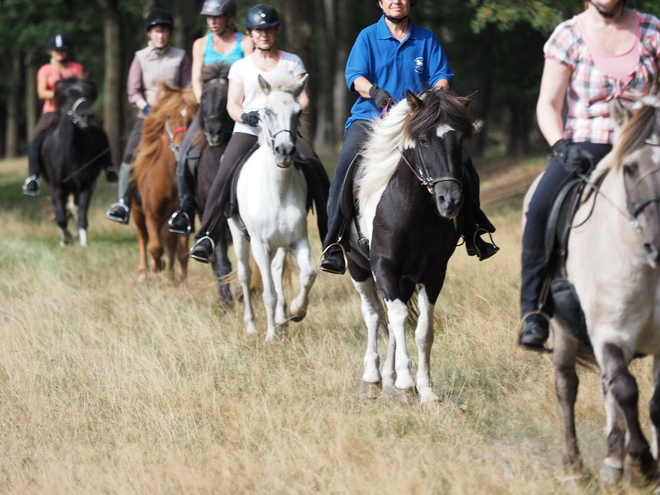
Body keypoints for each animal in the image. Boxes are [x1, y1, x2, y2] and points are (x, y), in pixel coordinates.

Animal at [38, 76, 112, 247]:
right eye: (68, 96)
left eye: (87, 95)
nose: (86, 115)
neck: (70, 152)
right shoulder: (57, 188)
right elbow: (61, 218)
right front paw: (65, 240)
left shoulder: (85, 186)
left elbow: (82, 214)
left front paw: (83, 241)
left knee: (75, 208)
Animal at [131, 85, 197, 282]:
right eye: (169, 116)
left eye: (193, 117)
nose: (181, 147)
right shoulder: (151, 214)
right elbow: (155, 246)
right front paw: (156, 266)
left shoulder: (183, 217)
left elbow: (182, 251)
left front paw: (182, 281)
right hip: (137, 212)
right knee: (143, 238)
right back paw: (144, 273)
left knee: (170, 243)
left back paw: (169, 275)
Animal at [350, 89, 480, 406]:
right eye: (423, 140)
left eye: (460, 140)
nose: (450, 201)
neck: (415, 211)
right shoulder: (383, 265)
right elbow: (395, 317)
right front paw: (407, 382)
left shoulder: (433, 272)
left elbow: (423, 329)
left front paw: (425, 390)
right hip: (357, 267)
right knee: (373, 315)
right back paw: (372, 378)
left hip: (405, 278)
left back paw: (388, 380)